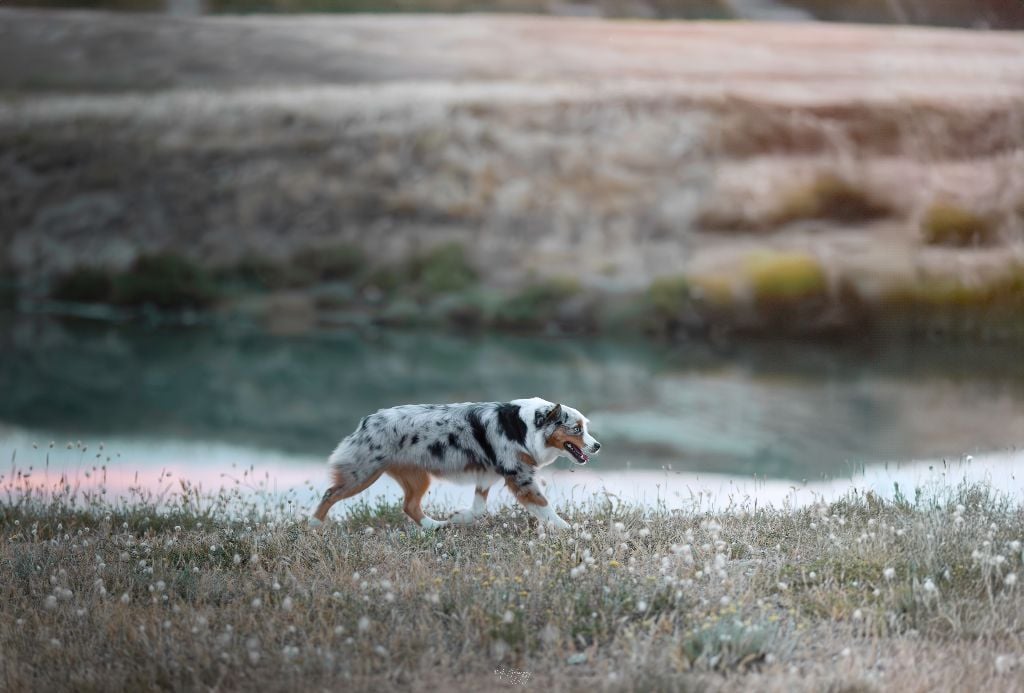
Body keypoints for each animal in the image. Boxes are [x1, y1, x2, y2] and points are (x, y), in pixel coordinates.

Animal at [311, 395, 598, 528]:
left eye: (585, 428)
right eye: (576, 429)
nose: (597, 446)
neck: (526, 426)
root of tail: (367, 420)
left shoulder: (487, 475)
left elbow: (479, 508)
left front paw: (459, 517)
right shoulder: (519, 476)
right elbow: (544, 506)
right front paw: (567, 528)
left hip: (417, 477)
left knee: (409, 506)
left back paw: (434, 526)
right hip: (363, 473)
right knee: (329, 493)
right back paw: (314, 525)